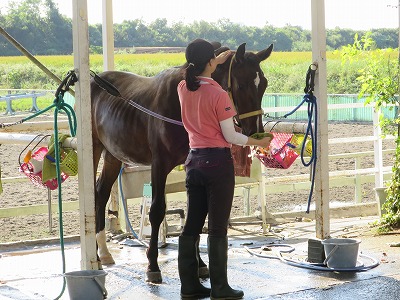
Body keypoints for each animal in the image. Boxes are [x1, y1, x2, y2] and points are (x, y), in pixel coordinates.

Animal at [90, 42, 272, 284]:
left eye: (264, 84)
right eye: (241, 85)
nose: (255, 131)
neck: (182, 101)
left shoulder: (191, 164)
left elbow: (195, 212)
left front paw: (200, 264)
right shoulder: (159, 164)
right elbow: (157, 211)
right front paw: (153, 264)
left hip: (113, 154)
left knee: (101, 192)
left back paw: (104, 252)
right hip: (93, 148)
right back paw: (96, 256)